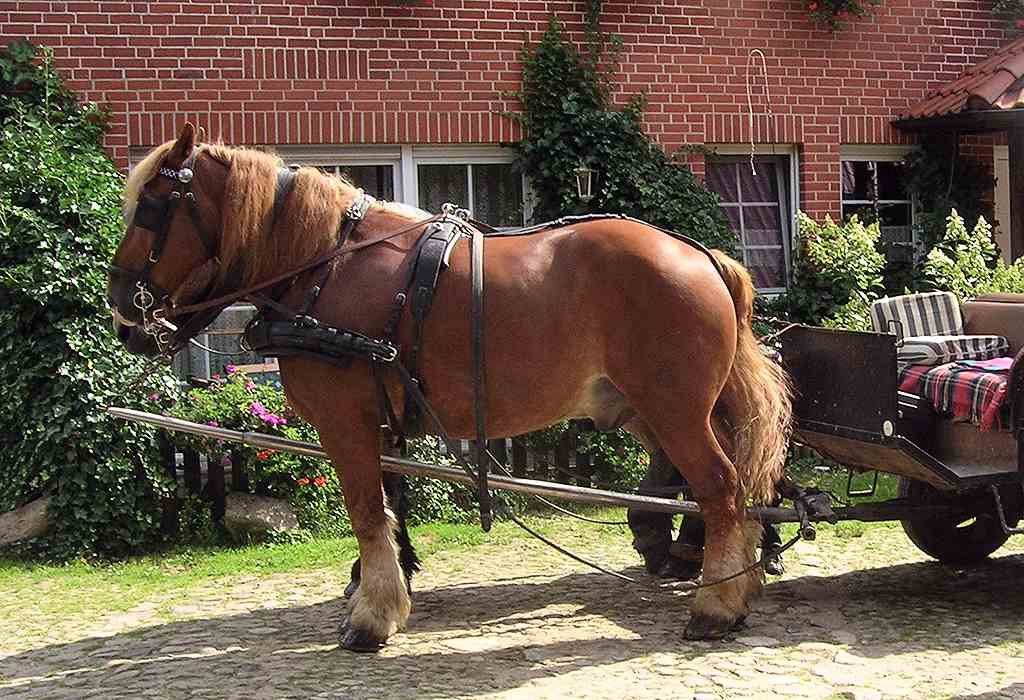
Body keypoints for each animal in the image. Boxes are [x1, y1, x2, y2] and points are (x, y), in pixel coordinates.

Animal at [107, 123, 792, 651]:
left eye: (150, 209)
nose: (120, 312)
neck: (327, 266)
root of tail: (703, 256)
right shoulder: (379, 420)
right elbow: (390, 504)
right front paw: (387, 585)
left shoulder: (345, 422)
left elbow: (365, 510)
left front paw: (371, 618)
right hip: (662, 413)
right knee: (740, 487)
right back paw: (742, 577)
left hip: (675, 412)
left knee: (722, 490)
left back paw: (716, 606)